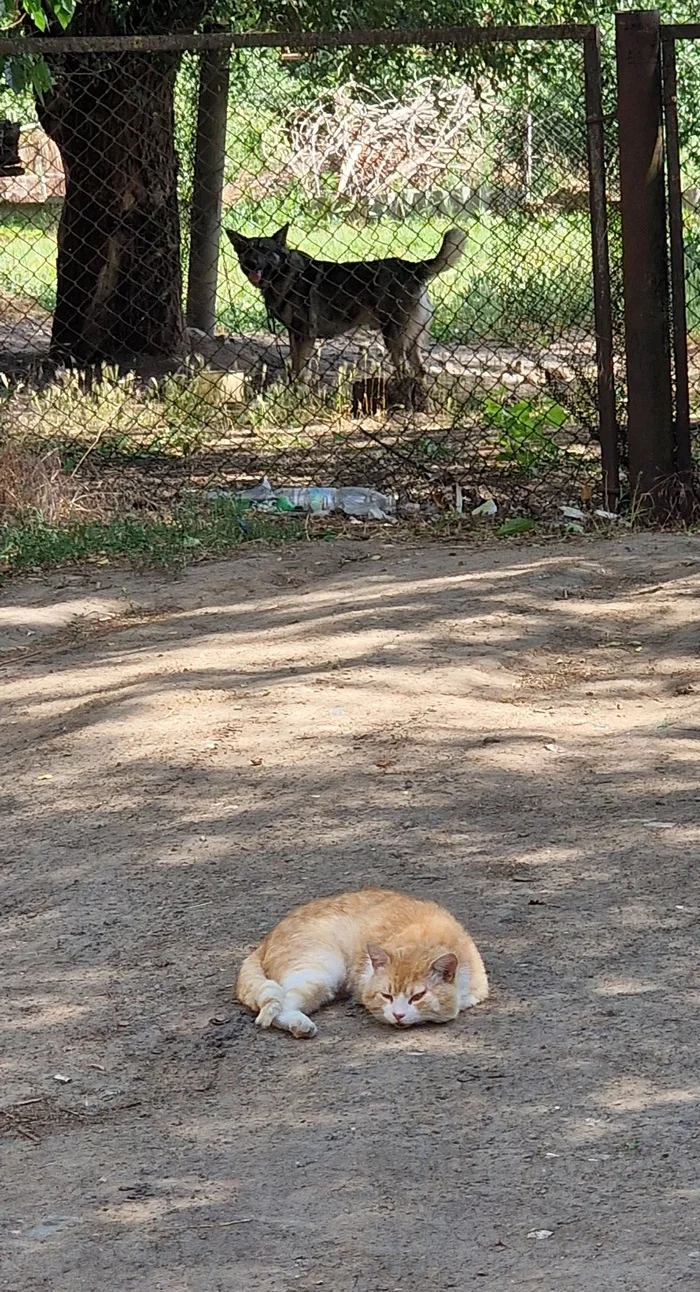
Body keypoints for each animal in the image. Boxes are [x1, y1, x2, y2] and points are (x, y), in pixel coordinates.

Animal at [226, 224, 467, 377]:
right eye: (246, 252)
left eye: (265, 250)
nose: (251, 263)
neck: (284, 274)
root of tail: (412, 267)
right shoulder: (295, 335)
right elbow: (296, 368)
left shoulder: (305, 335)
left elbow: (301, 371)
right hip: (410, 341)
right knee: (419, 371)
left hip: (394, 337)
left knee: (404, 371)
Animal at [236, 888, 488, 1038]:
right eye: (386, 995)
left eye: (417, 997)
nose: (398, 1015)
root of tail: (265, 939)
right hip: (320, 973)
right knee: (278, 1007)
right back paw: (300, 1025)